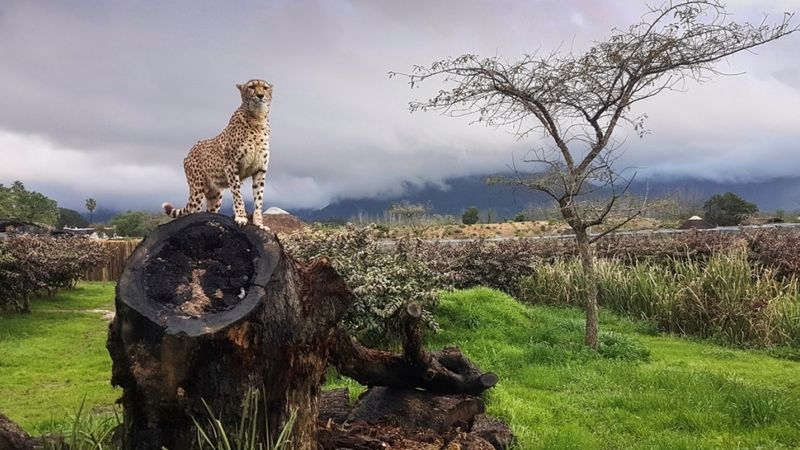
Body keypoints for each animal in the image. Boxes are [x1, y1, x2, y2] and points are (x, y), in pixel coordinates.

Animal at [162, 79, 273, 229]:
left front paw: (259, 223)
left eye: (265, 88)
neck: (257, 118)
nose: (260, 95)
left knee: (211, 210)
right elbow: (238, 195)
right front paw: (241, 217)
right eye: (251, 87)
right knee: (192, 211)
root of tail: (190, 150)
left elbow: (259, 199)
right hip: (197, 189)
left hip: (215, 193)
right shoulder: (232, 167)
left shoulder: (260, 170)